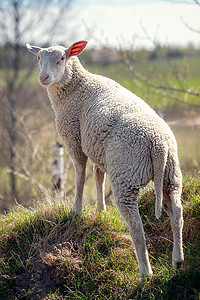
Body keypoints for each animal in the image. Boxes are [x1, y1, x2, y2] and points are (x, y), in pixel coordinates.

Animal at [26, 40, 184, 282]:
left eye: (62, 58)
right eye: (38, 58)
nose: (44, 77)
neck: (77, 87)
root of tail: (159, 145)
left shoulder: (74, 139)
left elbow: (80, 175)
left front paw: (76, 210)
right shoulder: (98, 149)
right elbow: (98, 176)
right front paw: (101, 211)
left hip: (126, 174)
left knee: (136, 227)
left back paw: (145, 273)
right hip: (170, 174)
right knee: (176, 212)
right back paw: (177, 261)